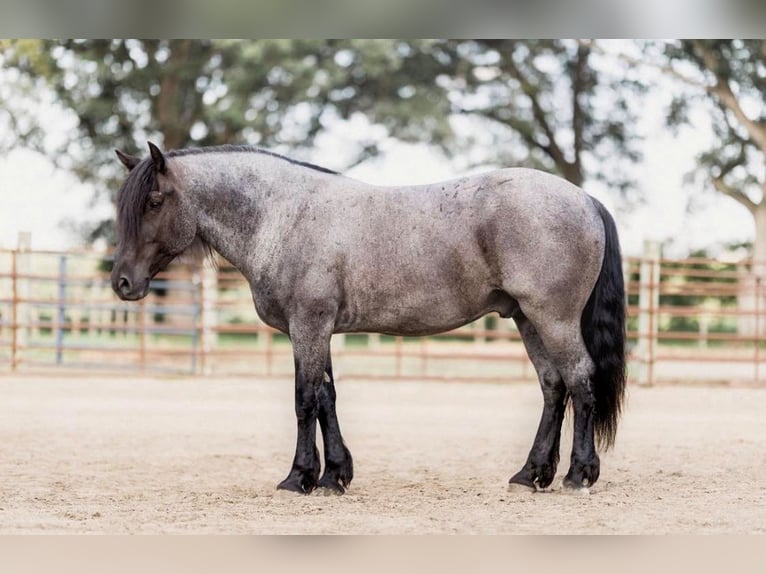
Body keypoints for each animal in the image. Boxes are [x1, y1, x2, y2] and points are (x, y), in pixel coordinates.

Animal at [111, 142, 628, 498]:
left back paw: (578, 474)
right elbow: (327, 398)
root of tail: (584, 199)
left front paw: (299, 478)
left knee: (580, 381)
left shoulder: (308, 325)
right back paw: (531, 474)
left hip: (553, 318)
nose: (122, 283)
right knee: (553, 387)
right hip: (527, 319)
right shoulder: (318, 330)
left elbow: (304, 400)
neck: (285, 216)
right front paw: (334, 476)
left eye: (153, 201)